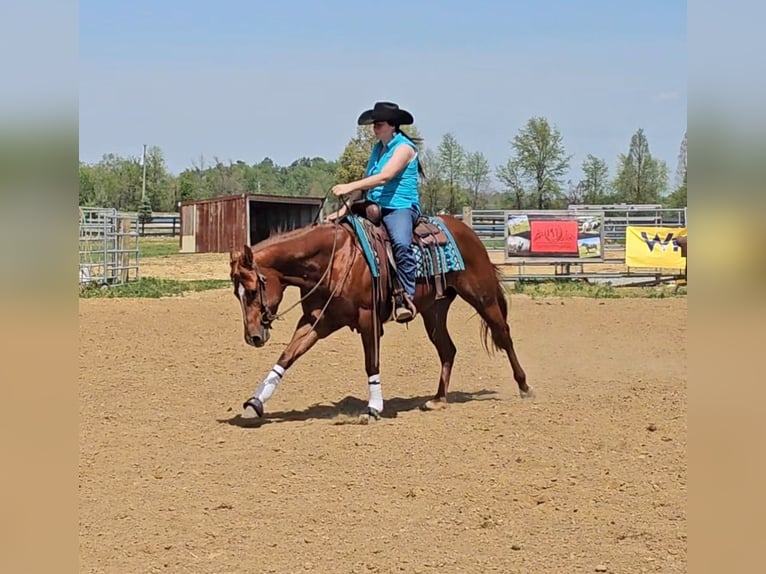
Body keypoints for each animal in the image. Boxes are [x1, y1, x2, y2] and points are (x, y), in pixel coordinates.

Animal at [228, 212, 536, 424]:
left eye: (253, 290)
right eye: (236, 293)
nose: (253, 336)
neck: (334, 258)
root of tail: (467, 231)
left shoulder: (368, 319)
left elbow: (371, 363)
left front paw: (374, 407)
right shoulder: (317, 320)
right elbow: (287, 356)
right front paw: (255, 402)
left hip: (483, 297)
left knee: (504, 336)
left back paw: (525, 386)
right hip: (434, 311)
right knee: (448, 350)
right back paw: (438, 399)